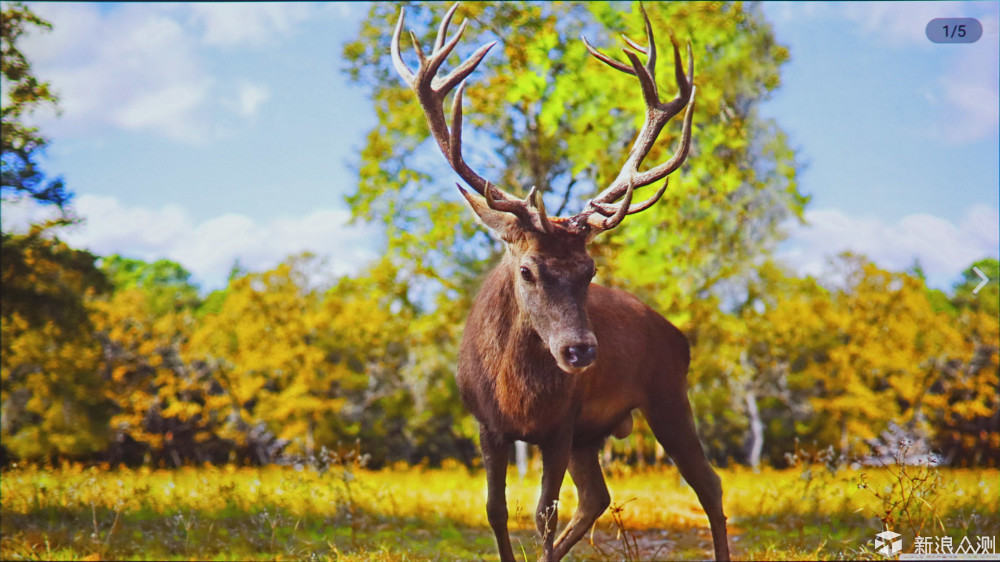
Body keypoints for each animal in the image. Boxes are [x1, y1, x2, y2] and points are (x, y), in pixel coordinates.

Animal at [394, 4, 732, 560]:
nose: (579, 351)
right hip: (592, 435)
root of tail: (677, 334)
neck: (516, 395)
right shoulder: (488, 425)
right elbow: (496, 511)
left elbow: (542, 516)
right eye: (527, 269)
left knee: (708, 483)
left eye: (589, 271)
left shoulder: (560, 425)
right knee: (597, 497)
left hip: (667, 394)